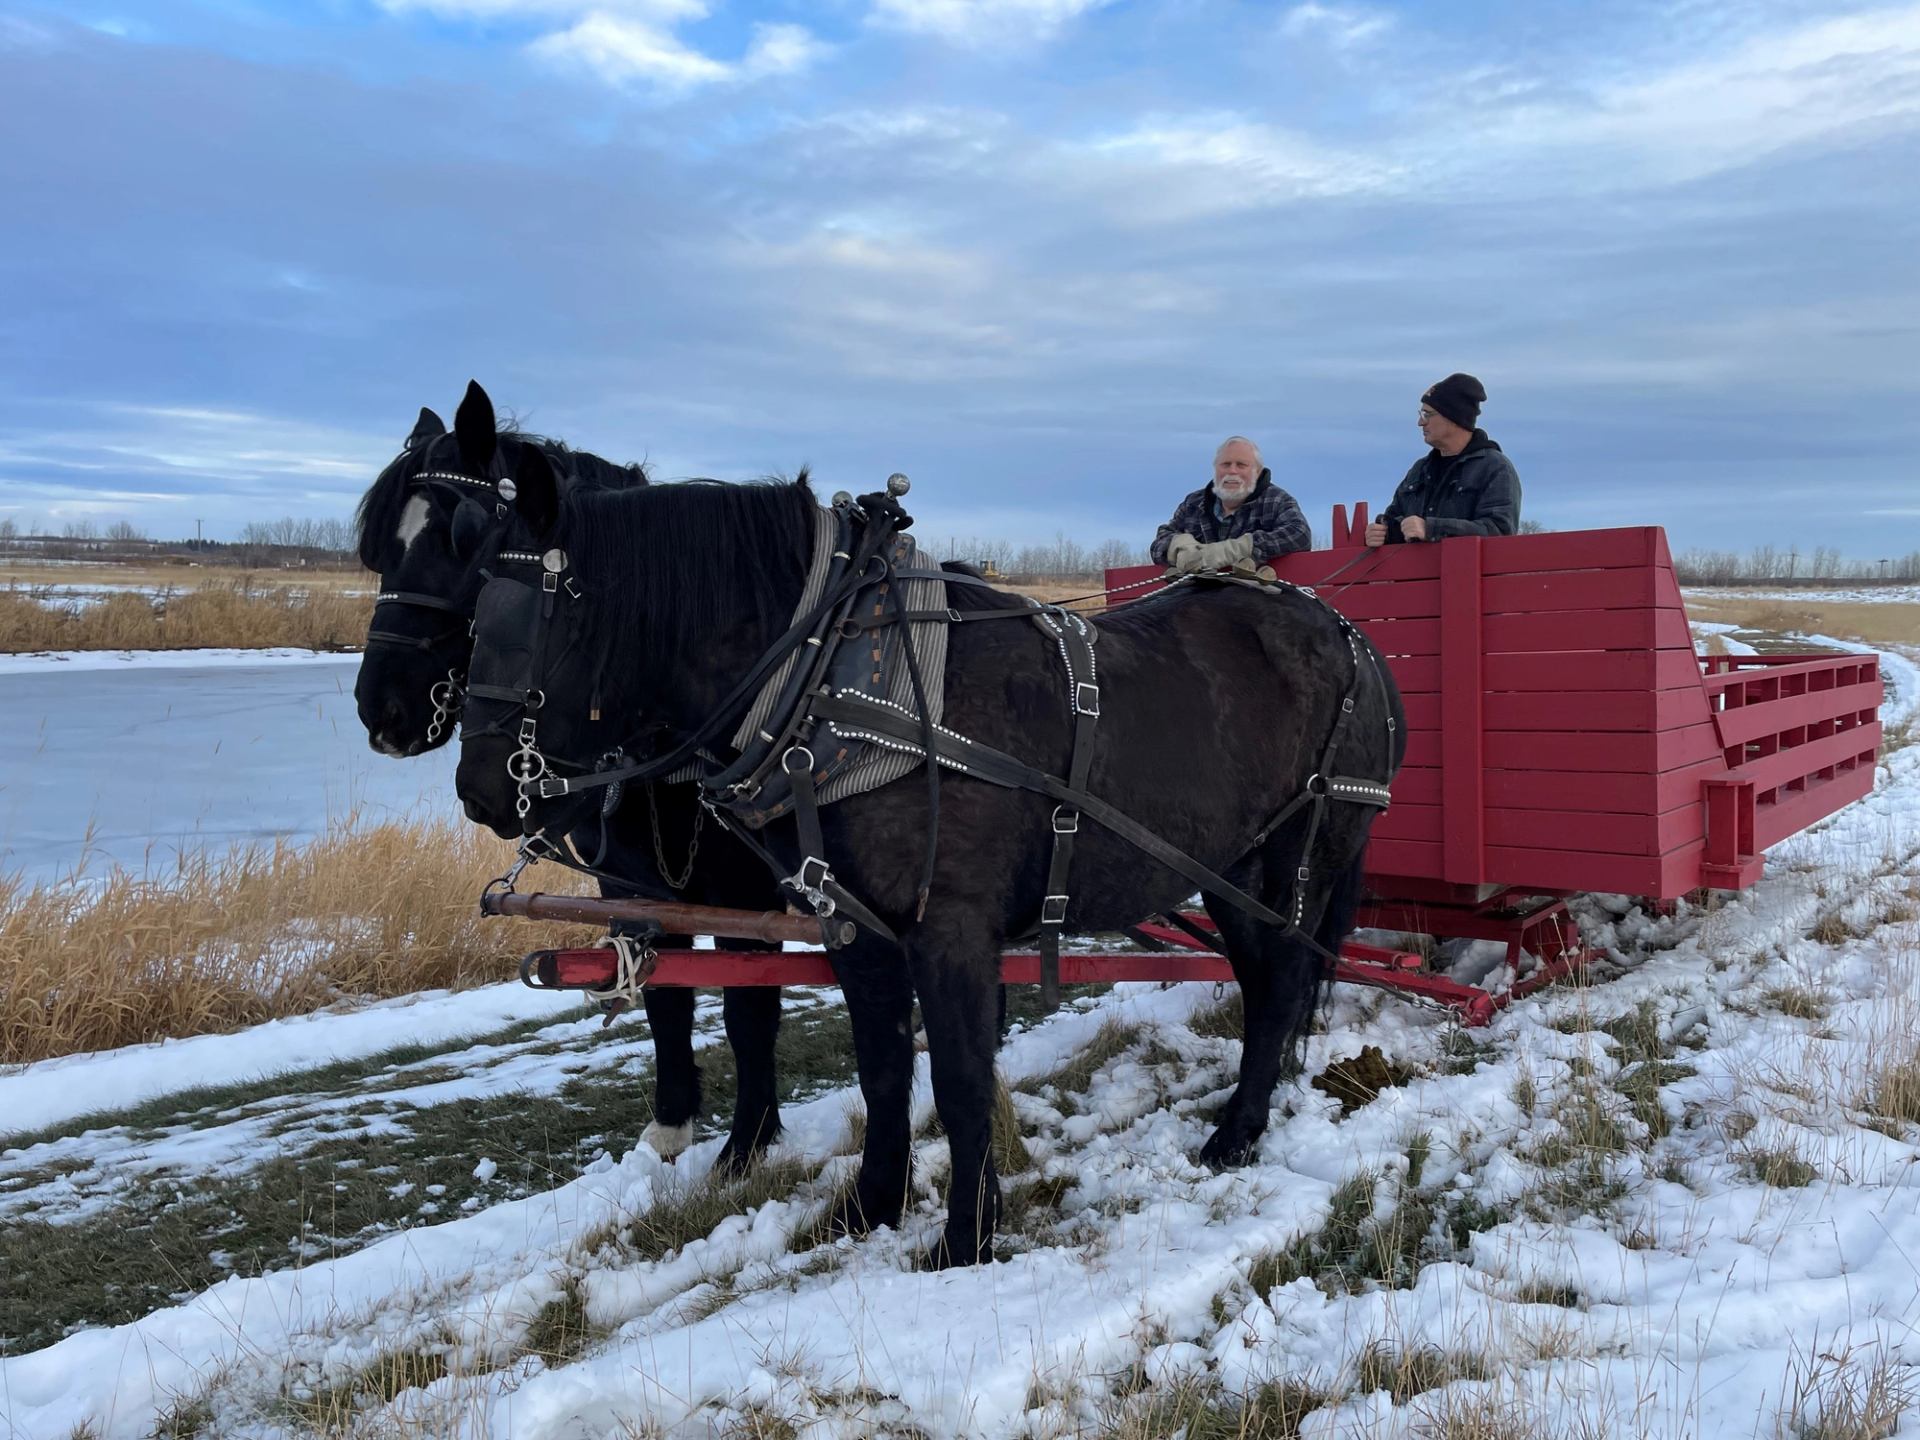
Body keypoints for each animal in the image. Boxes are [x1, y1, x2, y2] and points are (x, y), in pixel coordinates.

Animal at [350, 381, 792, 1174]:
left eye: (460, 541)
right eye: (379, 552)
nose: (383, 710)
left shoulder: (749, 896)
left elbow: (751, 1010)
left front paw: (748, 1144)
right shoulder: (634, 887)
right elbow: (664, 998)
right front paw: (671, 1125)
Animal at [457, 446, 1406, 1267]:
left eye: (554, 611)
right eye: (472, 608)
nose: (481, 790)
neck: (838, 674)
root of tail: (1348, 634)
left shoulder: (950, 930)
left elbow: (958, 1081)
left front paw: (965, 1238)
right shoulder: (858, 929)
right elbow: (882, 1071)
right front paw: (870, 1207)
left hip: (1297, 860)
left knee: (1286, 977)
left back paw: (1238, 1133)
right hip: (1230, 873)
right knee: (1264, 984)